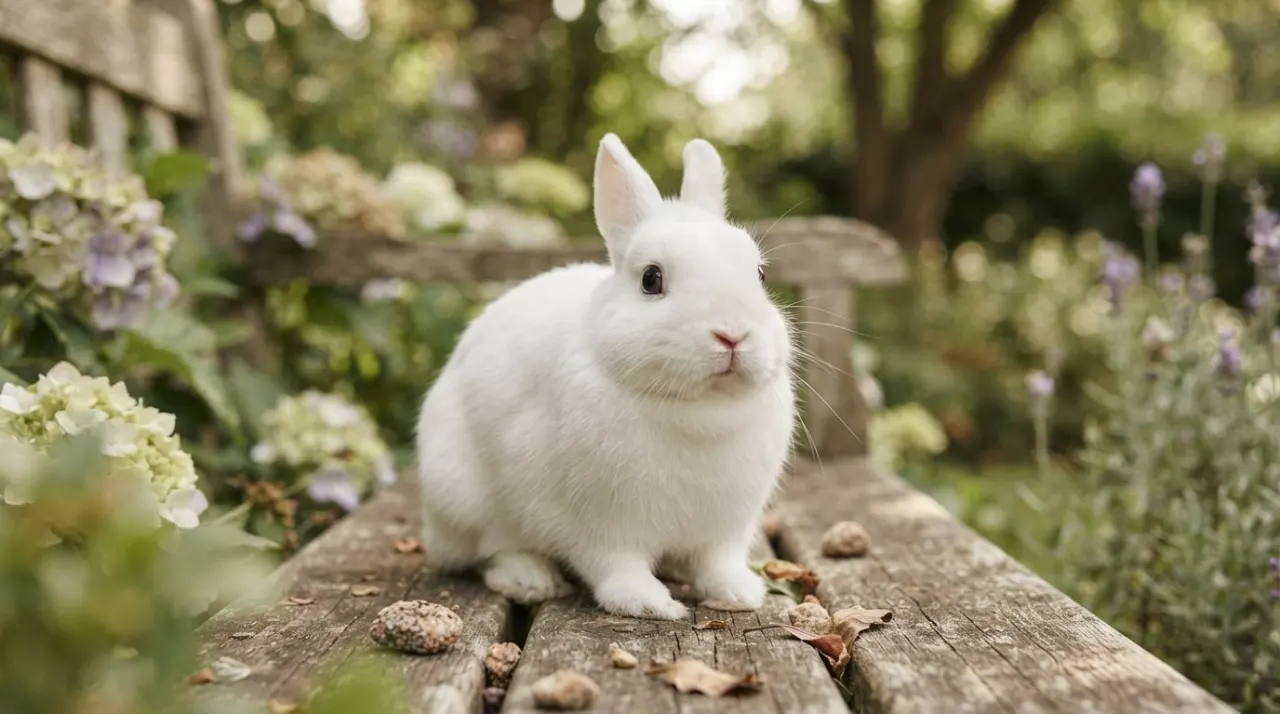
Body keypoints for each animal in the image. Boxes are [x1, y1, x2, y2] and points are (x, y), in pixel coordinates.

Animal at [414, 132, 796, 620]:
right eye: (651, 279)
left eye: (760, 274)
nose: (733, 333)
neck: (698, 408)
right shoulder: (601, 525)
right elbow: (616, 565)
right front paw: (650, 605)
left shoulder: (726, 528)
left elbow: (717, 563)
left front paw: (740, 594)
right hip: (463, 496)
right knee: (493, 549)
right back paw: (530, 581)